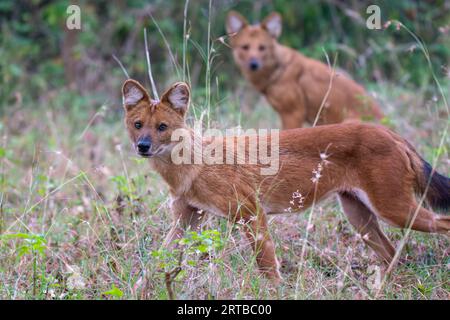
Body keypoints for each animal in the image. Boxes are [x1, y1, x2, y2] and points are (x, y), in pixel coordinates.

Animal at [121, 79, 448, 282]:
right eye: (138, 125)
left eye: (162, 127)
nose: (143, 146)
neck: (193, 165)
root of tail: (393, 133)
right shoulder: (186, 219)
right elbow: (155, 264)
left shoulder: (251, 212)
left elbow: (268, 267)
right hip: (359, 216)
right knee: (392, 254)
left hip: (395, 210)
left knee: (439, 226)